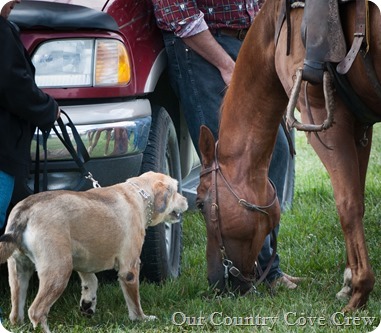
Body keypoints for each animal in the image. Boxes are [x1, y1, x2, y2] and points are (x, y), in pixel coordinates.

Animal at [0, 171, 187, 332]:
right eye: (175, 191)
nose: (186, 200)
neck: (139, 195)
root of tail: (26, 210)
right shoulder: (130, 269)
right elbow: (134, 302)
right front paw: (141, 319)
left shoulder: (84, 260)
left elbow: (92, 281)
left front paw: (87, 304)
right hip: (58, 271)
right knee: (36, 311)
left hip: (18, 271)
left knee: (15, 315)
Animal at [196, 0, 380, 310]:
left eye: (199, 204)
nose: (214, 281)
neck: (276, 33)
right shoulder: (359, 124)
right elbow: (357, 197)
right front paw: (349, 281)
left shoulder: (323, 120)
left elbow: (348, 205)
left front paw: (358, 292)